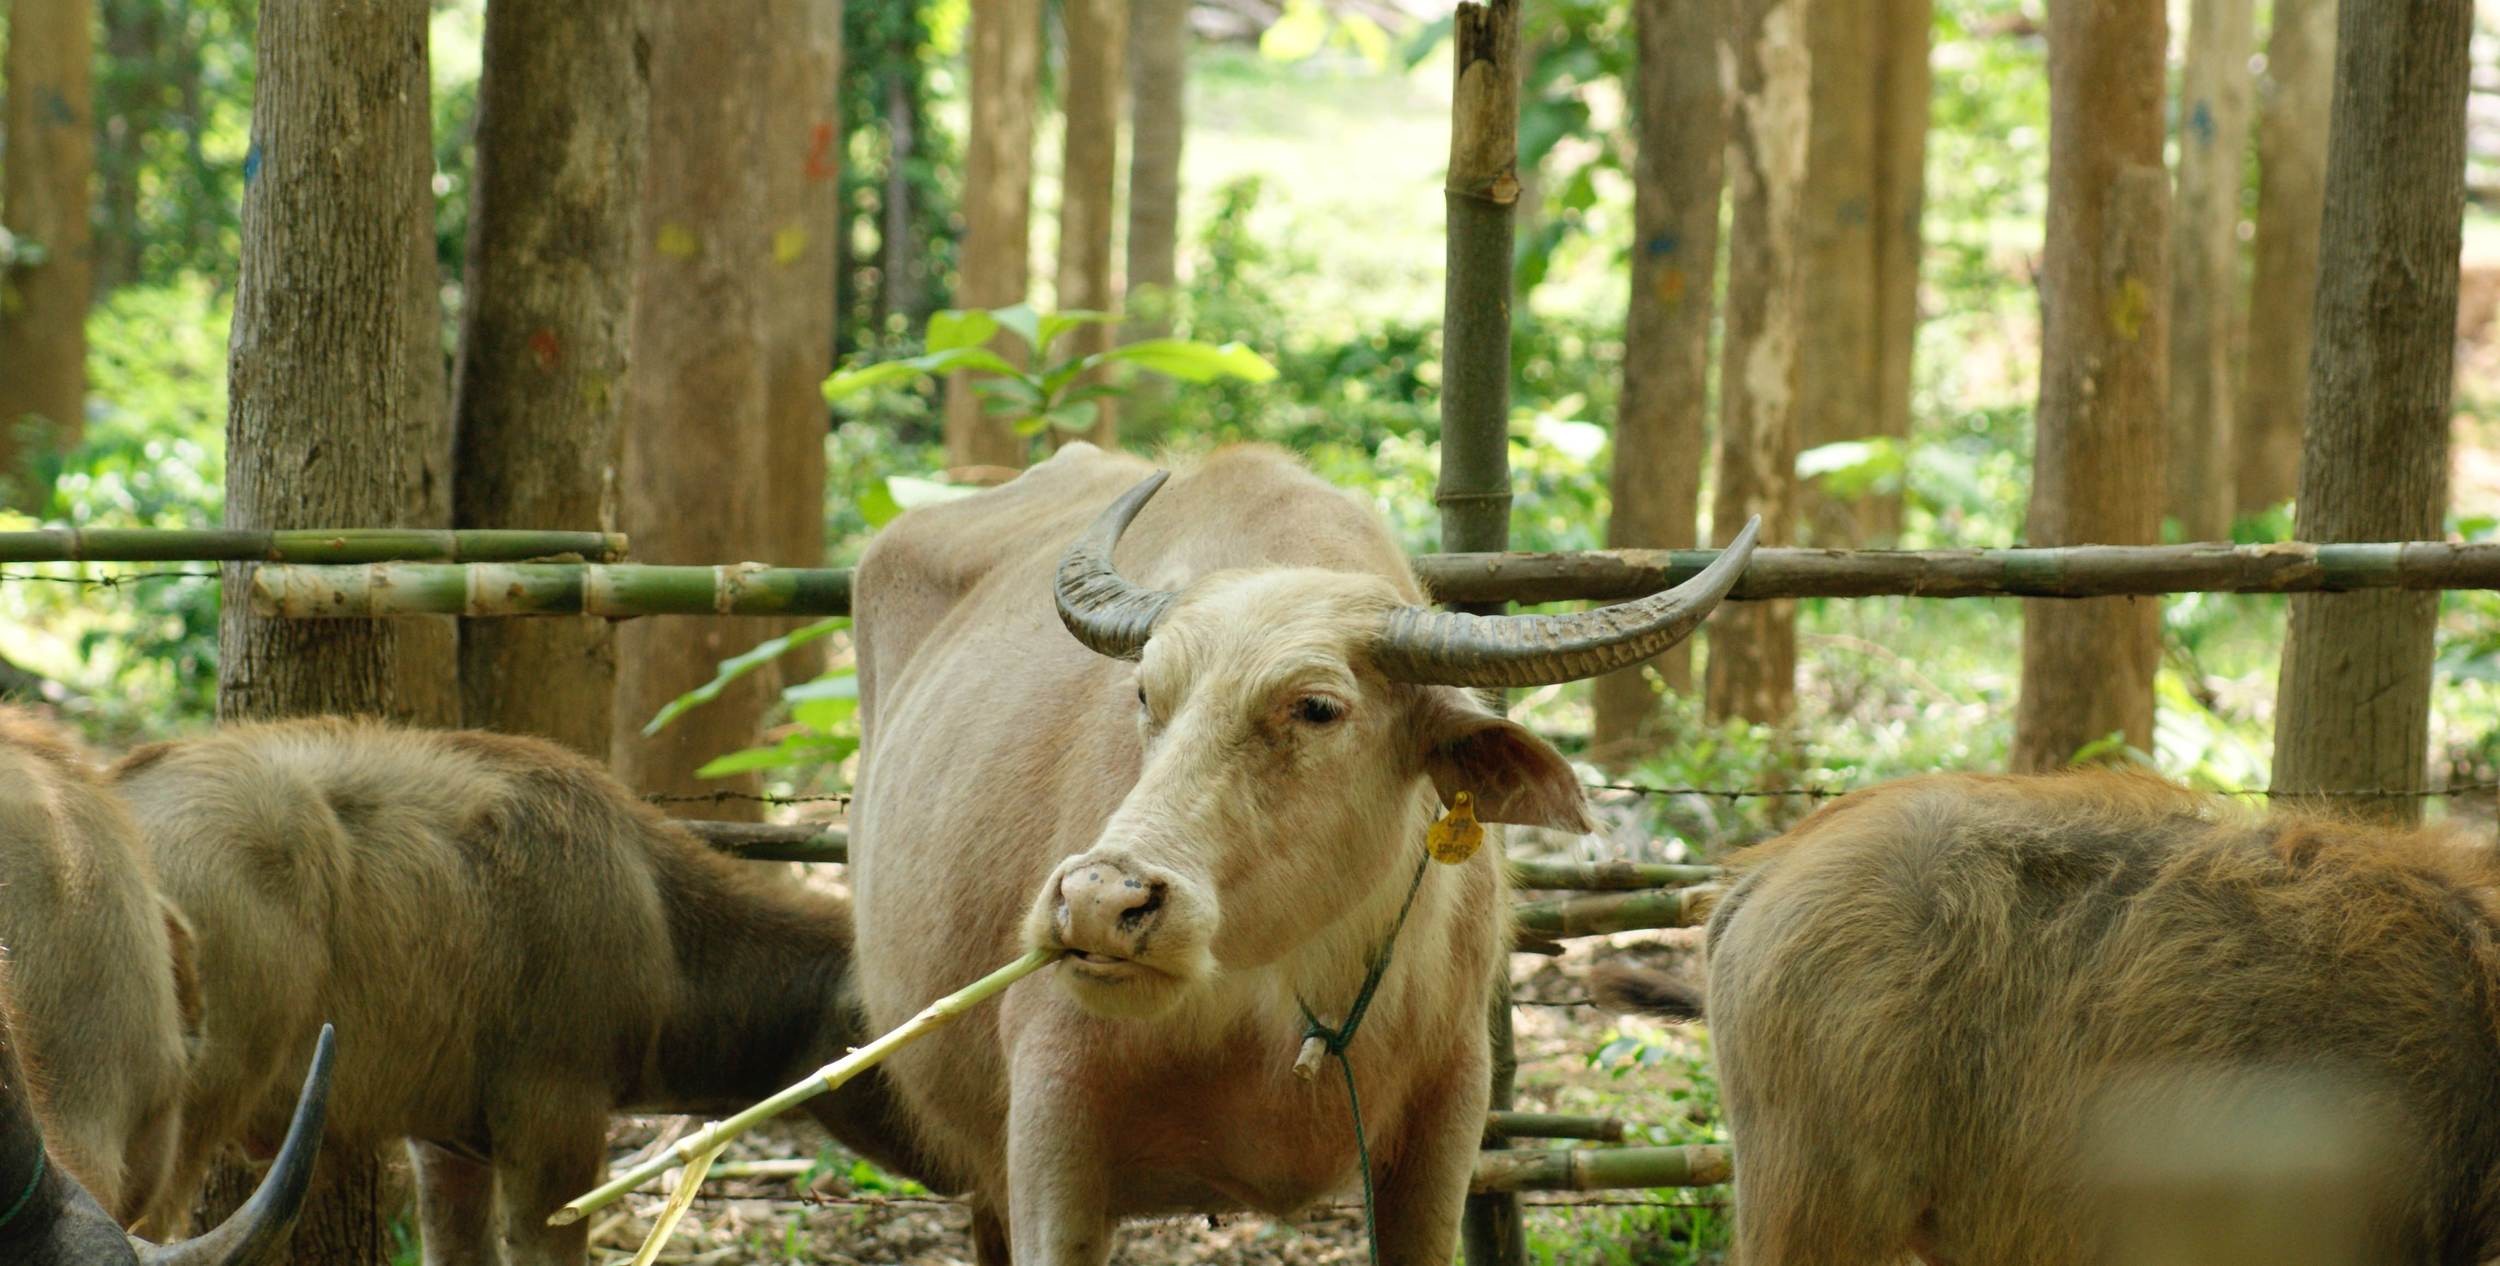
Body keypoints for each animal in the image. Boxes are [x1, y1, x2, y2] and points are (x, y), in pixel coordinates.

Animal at [850, 440, 1750, 1260]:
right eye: (1146, 693)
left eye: (1317, 708)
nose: (1101, 904)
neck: (1287, 993)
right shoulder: (1053, 1138)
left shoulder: (1447, 1129)